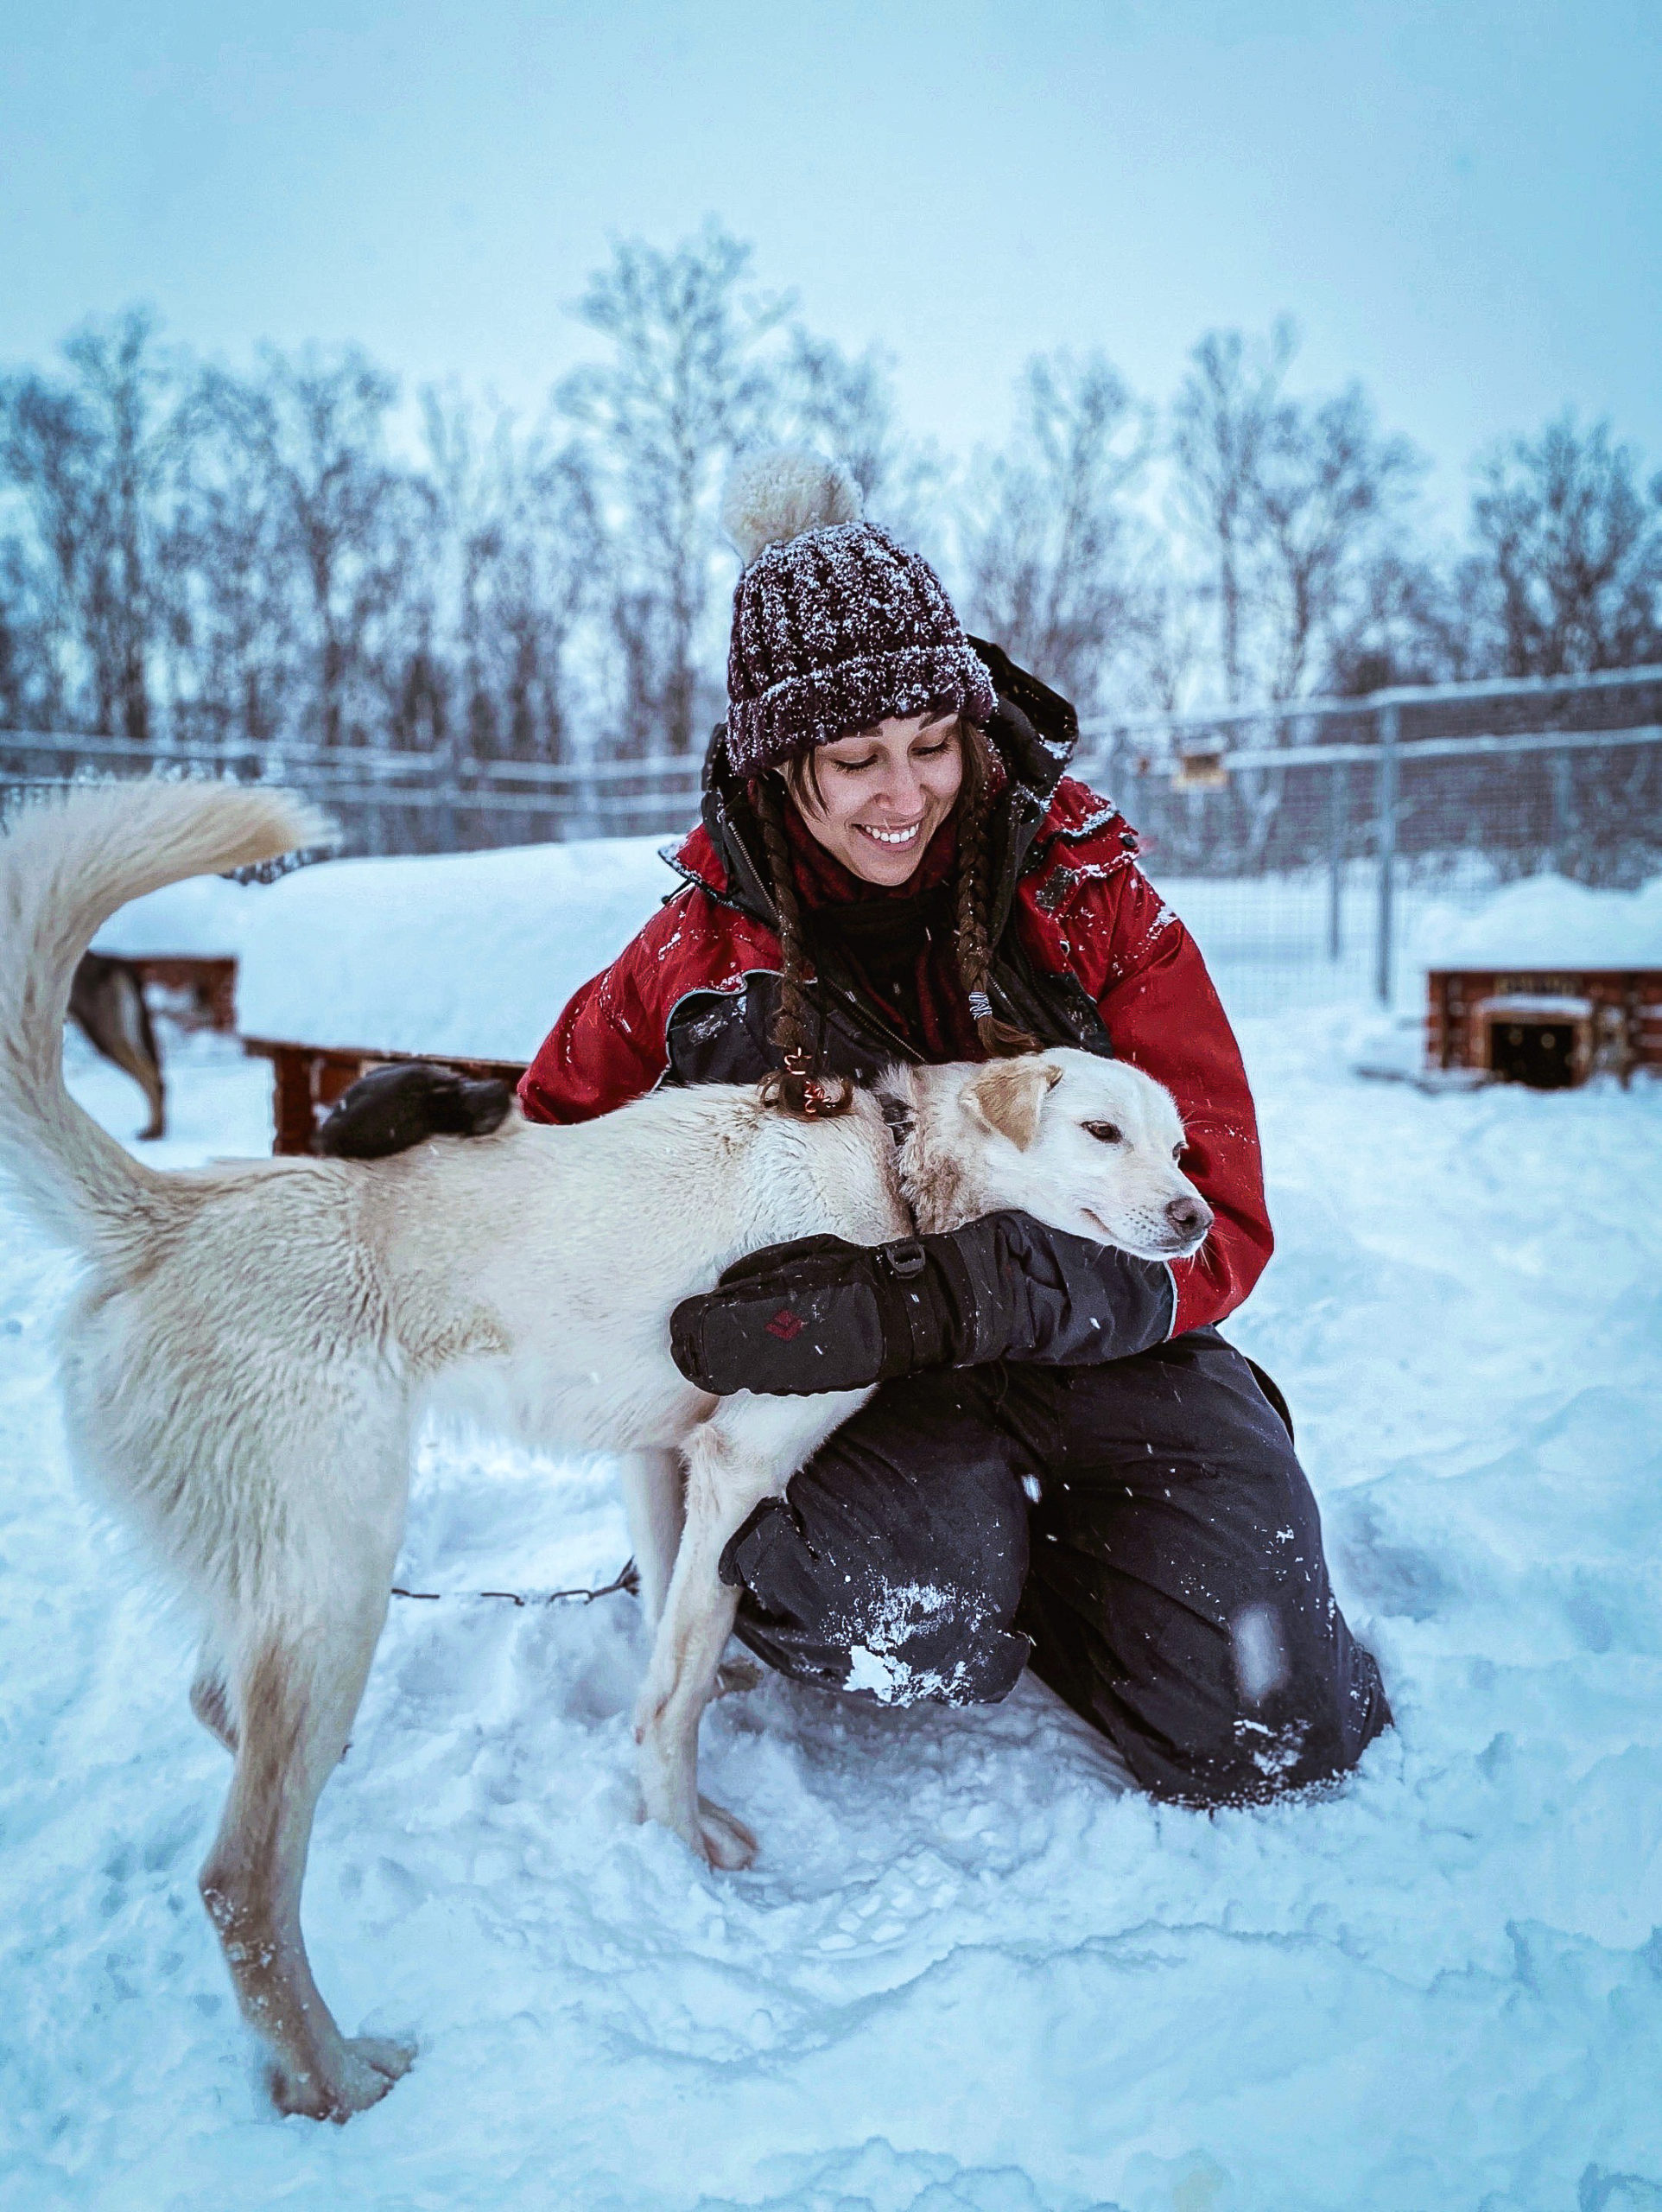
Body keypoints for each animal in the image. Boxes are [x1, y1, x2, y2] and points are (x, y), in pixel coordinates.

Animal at [0, 787, 1211, 2114]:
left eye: (1181, 1148)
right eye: (1100, 1131)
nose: (1200, 1218)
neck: (890, 1169)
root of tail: (174, 1213)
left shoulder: (660, 1458)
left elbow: (672, 1621)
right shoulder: (739, 1465)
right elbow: (668, 1698)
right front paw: (686, 1848)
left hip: (293, 1591)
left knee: (218, 1704)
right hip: (340, 1574)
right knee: (241, 1882)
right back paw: (335, 2077)